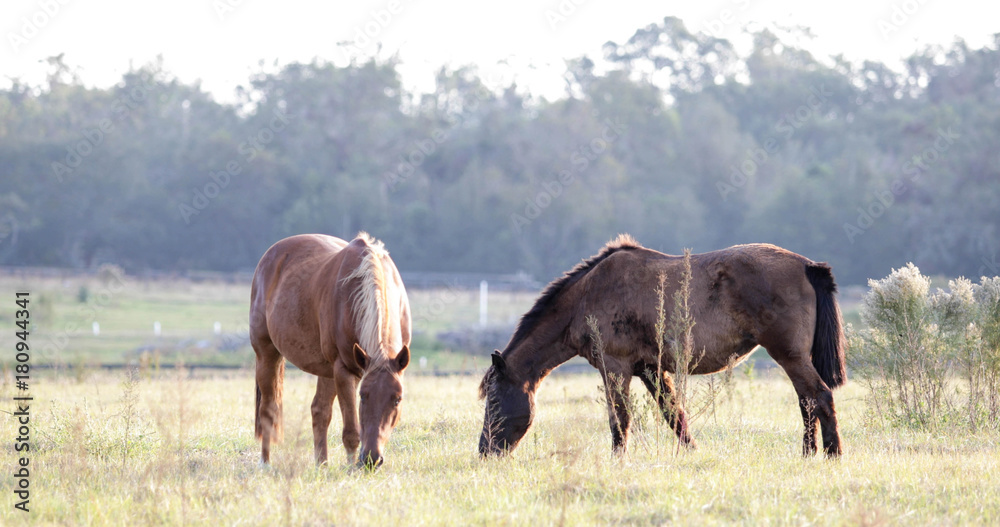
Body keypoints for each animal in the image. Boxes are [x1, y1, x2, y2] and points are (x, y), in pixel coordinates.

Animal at [250, 233, 410, 468]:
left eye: (397, 399)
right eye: (363, 396)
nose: (371, 459)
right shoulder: (344, 370)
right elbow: (351, 431)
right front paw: (352, 469)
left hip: (325, 370)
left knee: (319, 411)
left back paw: (321, 465)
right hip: (267, 355)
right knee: (268, 408)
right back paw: (265, 462)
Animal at [476, 235, 844, 458]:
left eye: (493, 399)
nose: (484, 451)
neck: (587, 297)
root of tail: (807, 266)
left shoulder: (615, 367)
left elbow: (619, 418)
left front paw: (618, 460)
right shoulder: (650, 370)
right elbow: (674, 415)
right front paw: (692, 453)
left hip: (790, 356)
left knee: (819, 397)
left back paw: (832, 453)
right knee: (807, 401)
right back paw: (810, 453)